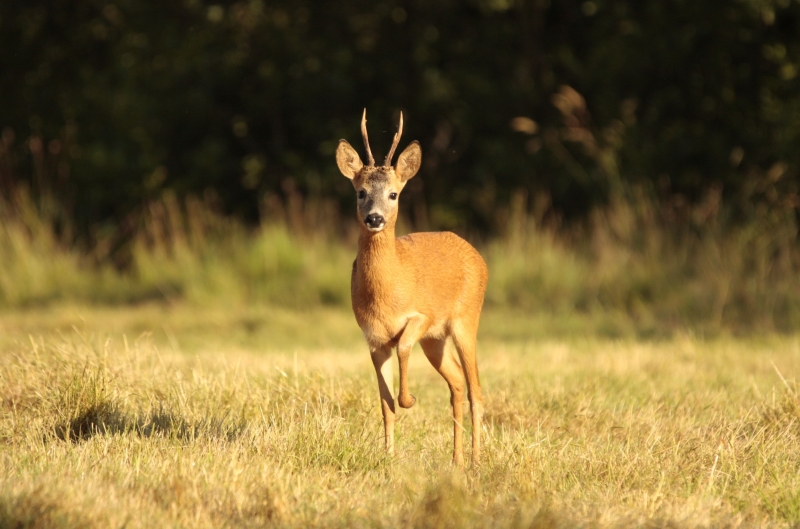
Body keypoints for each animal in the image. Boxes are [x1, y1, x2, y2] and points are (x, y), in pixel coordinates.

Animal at [336, 109, 490, 464]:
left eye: (393, 194)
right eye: (360, 192)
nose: (375, 219)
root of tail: (478, 257)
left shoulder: (421, 316)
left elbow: (404, 346)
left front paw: (411, 400)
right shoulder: (374, 338)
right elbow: (385, 405)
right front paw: (388, 457)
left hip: (465, 320)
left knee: (476, 390)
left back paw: (476, 460)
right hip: (436, 341)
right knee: (457, 383)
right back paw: (456, 459)